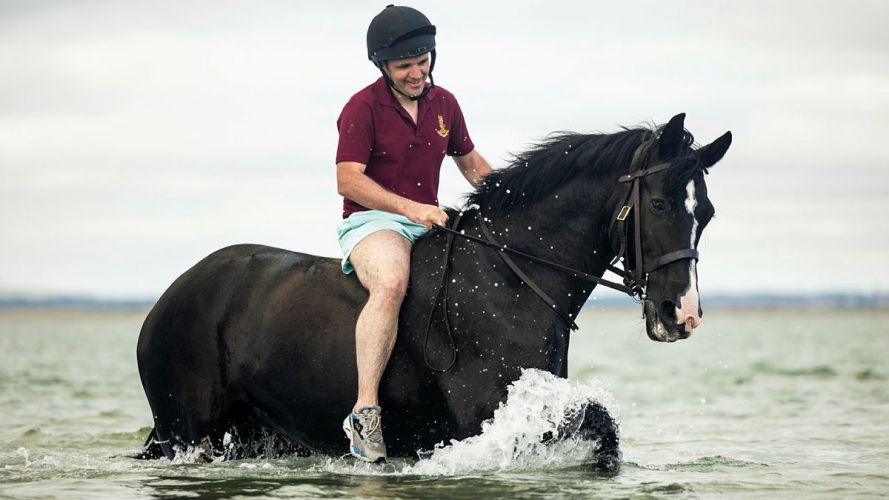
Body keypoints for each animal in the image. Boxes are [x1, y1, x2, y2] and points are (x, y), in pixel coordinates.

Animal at [135, 113, 731, 472]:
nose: (681, 315)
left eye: (705, 212)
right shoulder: (488, 414)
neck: (512, 276)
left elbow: (605, 428)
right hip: (186, 431)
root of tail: (172, 293)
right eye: (660, 204)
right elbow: (597, 421)